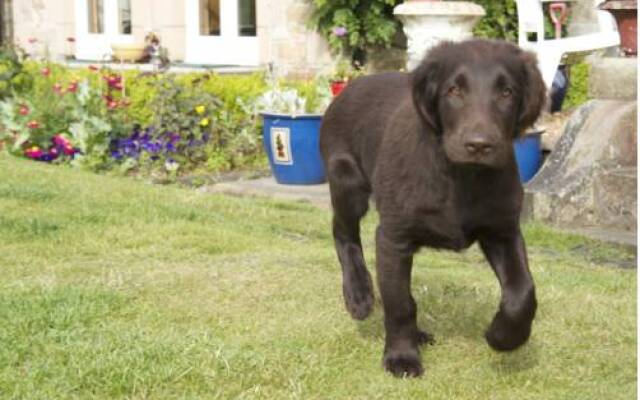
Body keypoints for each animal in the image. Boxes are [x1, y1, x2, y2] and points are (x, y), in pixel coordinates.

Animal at [320, 39, 544, 376]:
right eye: (454, 90)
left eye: (507, 92)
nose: (479, 145)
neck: (462, 176)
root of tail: (350, 86)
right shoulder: (393, 237)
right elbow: (400, 303)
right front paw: (401, 357)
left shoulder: (502, 231)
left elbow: (523, 292)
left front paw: (503, 336)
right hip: (347, 180)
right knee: (343, 233)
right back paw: (359, 294)